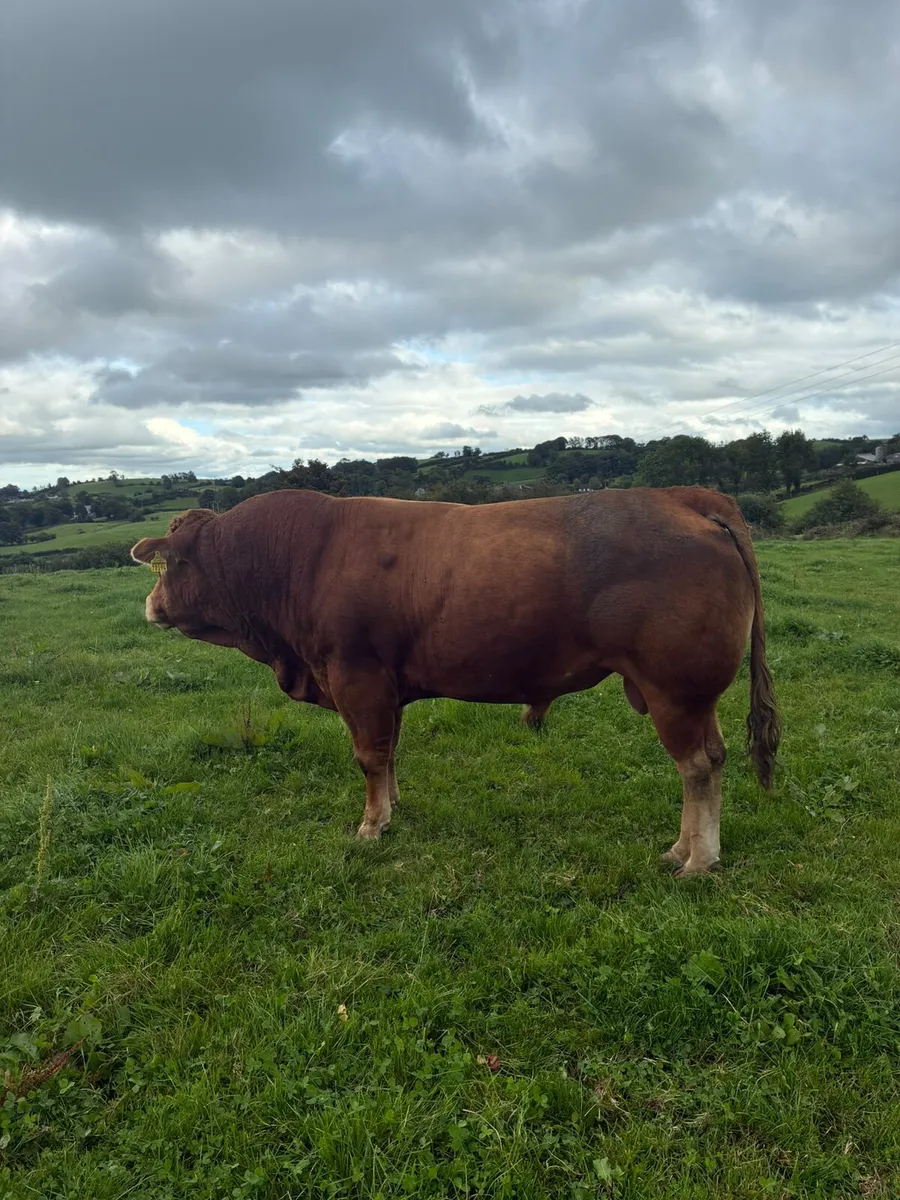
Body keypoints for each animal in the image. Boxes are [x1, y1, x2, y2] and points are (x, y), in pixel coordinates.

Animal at [131, 486, 779, 876]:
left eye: (174, 562)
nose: (151, 605)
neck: (302, 559)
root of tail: (683, 497)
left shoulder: (355, 674)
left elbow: (369, 754)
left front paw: (370, 825)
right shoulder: (386, 685)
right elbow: (390, 751)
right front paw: (392, 805)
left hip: (675, 689)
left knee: (698, 766)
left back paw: (698, 858)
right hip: (689, 693)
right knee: (710, 758)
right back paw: (683, 849)